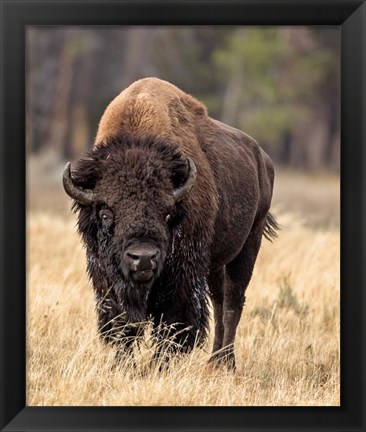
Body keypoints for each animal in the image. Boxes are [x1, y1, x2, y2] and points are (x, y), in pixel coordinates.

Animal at [62, 77, 278, 368]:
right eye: (105, 213)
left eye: (166, 213)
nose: (143, 258)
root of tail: (262, 159)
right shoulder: (106, 276)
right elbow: (123, 322)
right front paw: (123, 364)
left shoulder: (182, 275)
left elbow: (173, 322)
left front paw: (158, 365)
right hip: (215, 263)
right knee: (219, 302)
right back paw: (213, 362)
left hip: (248, 245)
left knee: (233, 303)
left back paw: (226, 363)